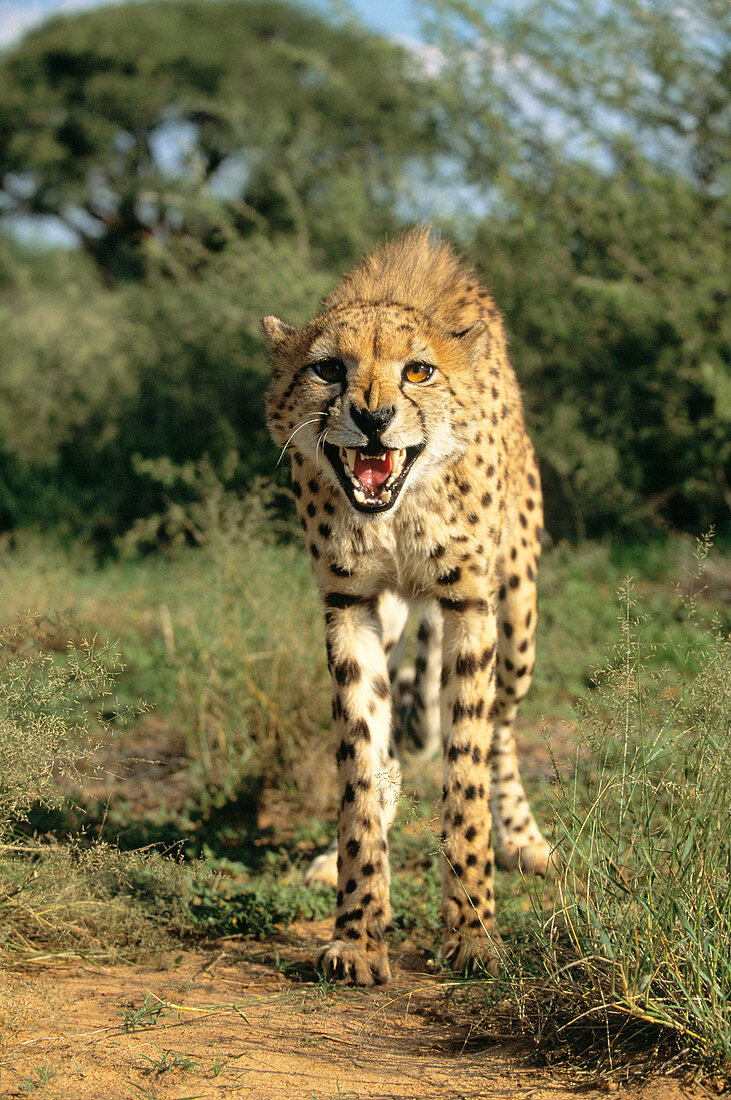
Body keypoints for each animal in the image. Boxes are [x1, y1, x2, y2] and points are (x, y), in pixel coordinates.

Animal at [262, 227, 554, 985]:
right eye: (327, 369)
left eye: (418, 372)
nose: (372, 418)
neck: (396, 511)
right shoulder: (349, 602)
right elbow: (361, 764)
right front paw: (358, 932)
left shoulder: (469, 603)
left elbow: (467, 766)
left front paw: (474, 933)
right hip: (397, 613)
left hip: (517, 616)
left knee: (503, 725)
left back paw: (524, 839)